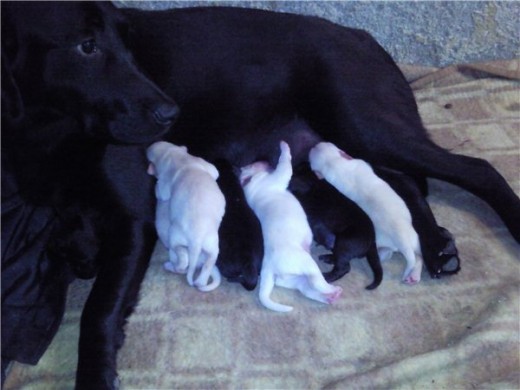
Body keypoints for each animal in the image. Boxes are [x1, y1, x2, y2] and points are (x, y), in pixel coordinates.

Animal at [147, 142, 226, 290]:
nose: (147, 148)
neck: (177, 156)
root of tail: (196, 240)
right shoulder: (206, 165)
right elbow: (216, 172)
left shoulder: (164, 183)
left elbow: (160, 192)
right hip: (212, 245)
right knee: (208, 263)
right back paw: (200, 282)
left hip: (175, 239)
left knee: (183, 261)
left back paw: (170, 266)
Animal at [240, 140, 342, 310]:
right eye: (252, 164)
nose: (264, 158)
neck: (251, 184)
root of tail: (268, 268)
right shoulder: (278, 176)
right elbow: (285, 164)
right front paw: (284, 146)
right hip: (307, 263)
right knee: (318, 282)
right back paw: (333, 290)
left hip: (295, 279)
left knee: (309, 290)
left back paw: (331, 297)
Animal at [308, 142, 422, 284]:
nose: (314, 145)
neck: (334, 162)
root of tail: (401, 237)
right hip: (412, 239)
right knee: (416, 256)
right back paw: (413, 275)